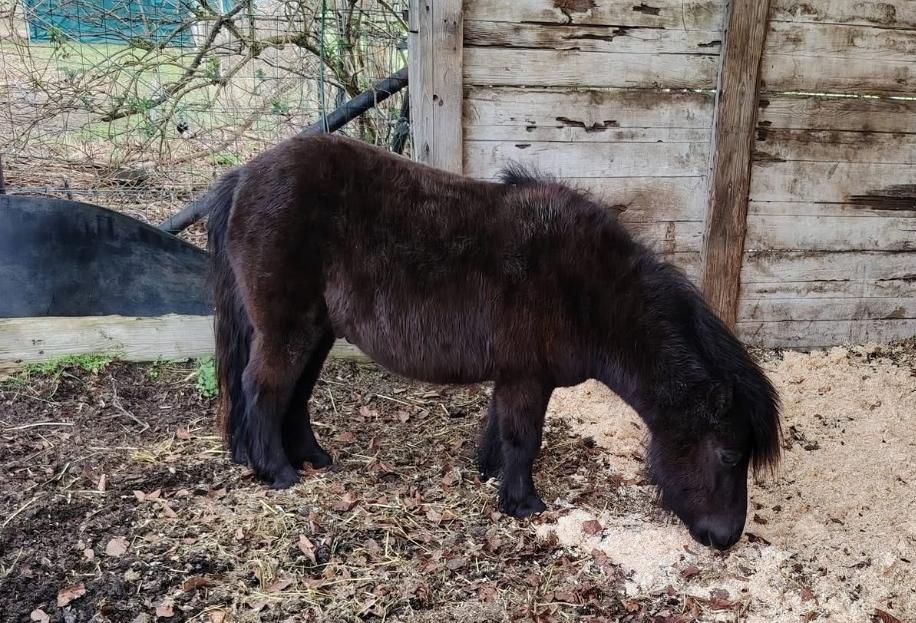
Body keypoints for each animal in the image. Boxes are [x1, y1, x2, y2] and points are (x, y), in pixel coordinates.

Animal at [206, 133, 781, 550]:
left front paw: (488, 474)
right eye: (729, 455)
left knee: (296, 394)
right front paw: (523, 503)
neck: (587, 289)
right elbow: (523, 438)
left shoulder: (513, 375)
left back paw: (313, 457)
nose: (726, 538)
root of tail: (244, 176)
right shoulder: (528, 377)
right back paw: (278, 472)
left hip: (317, 331)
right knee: (264, 390)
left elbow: (498, 430)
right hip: (288, 330)